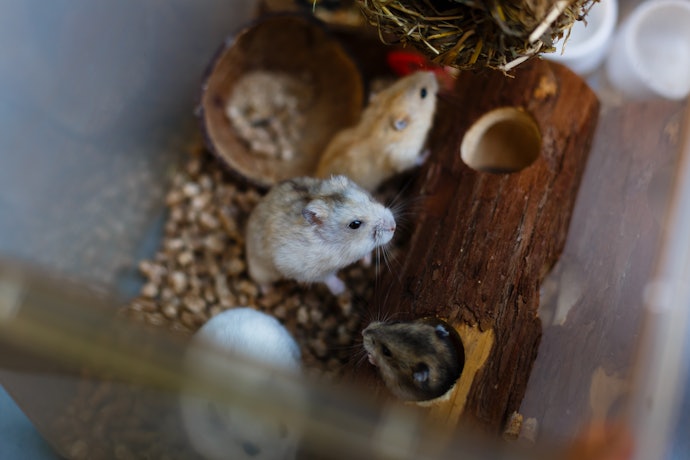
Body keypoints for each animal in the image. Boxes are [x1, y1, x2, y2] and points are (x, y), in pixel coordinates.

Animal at [246, 175, 396, 295]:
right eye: (355, 224)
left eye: (369, 198)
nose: (394, 226)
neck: (344, 245)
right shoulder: (302, 268)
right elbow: (327, 278)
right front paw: (341, 290)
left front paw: (366, 263)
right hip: (261, 270)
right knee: (260, 280)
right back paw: (268, 291)